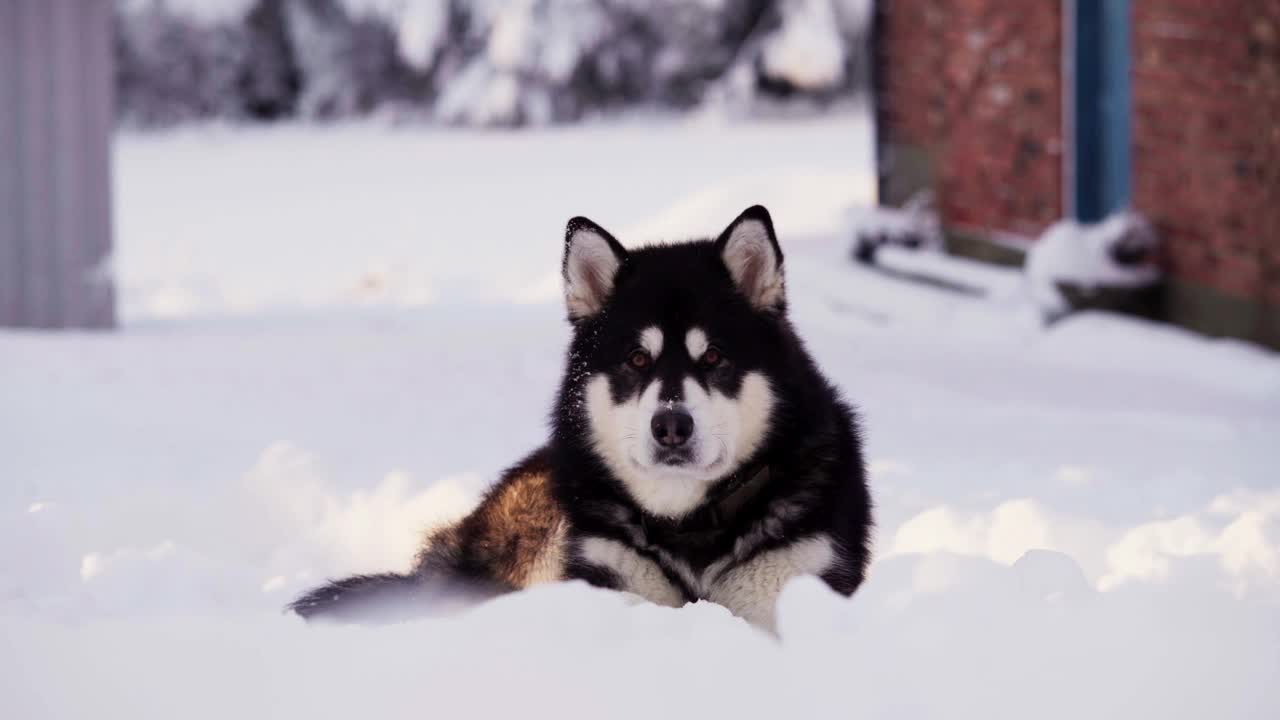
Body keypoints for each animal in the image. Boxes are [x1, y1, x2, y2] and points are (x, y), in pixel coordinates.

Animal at [289, 203, 870, 627]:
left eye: (713, 358)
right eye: (637, 359)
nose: (671, 426)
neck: (689, 527)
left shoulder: (794, 576)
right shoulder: (606, 572)